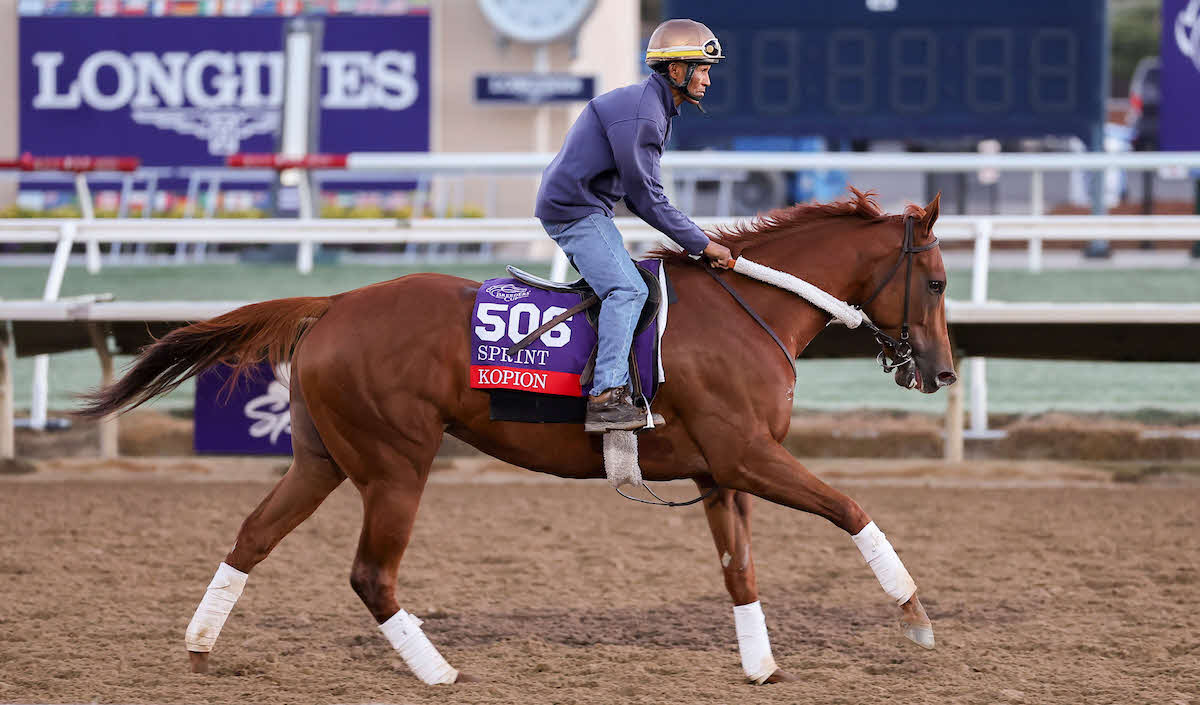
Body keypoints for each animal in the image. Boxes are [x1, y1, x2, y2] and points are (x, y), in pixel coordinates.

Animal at [78, 188, 955, 685]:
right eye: (939, 281)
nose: (943, 371)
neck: (749, 312)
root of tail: (332, 304)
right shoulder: (749, 453)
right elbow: (851, 509)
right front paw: (915, 613)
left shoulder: (722, 469)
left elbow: (740, 570)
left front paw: (762, 665)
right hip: (395, 464)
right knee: (371, 574)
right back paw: (439, 672)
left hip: (322, 458)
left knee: (253, 535)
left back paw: (200, 646)